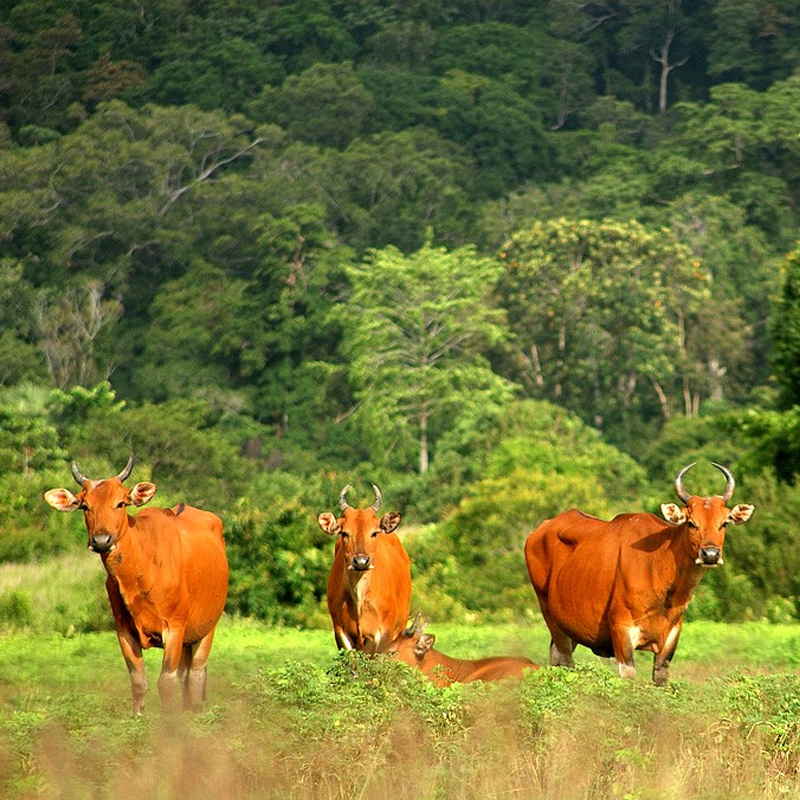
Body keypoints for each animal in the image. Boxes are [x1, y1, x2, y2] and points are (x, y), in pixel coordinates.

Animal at [44, 460, 228, 716]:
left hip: (207, 628)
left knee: (197, 673)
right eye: (85, 506)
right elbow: (138, 681)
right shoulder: (124, 631)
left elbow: (165, 682)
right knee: (185, 675)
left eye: (120, 503)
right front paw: (138, 717)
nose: (102, 540)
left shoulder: (174, 627)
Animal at [528, 466, 752, 684]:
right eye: (691, 523)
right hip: (551, 617)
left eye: (724, 523)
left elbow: (660, 677)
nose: (710, 554)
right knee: (563, 660)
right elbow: (629, 677)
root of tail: (538, 531)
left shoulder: (671, 635)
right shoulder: (622, 629)